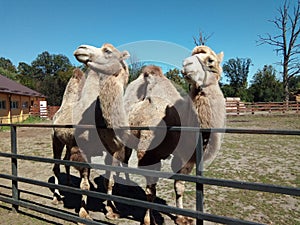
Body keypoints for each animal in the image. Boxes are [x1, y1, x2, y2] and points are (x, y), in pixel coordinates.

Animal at [51, 43, 131, 222]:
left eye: (107, 51)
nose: (81, 48)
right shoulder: (83, 150)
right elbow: (85, 184)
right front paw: (83, 213)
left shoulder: (113, 151)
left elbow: (109, 182)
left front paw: (111, 211)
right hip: (55, 139)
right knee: (56, 166)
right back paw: (56, 197)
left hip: (68, 143)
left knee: (65, 161)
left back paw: (69, 183)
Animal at [123, 44, 226, 224]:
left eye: (210, 60)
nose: (186, 64)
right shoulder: (149, 153)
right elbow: (150, 191)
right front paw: (148, 220)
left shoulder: (186, 157)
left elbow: (179, 186)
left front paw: (181, 217)